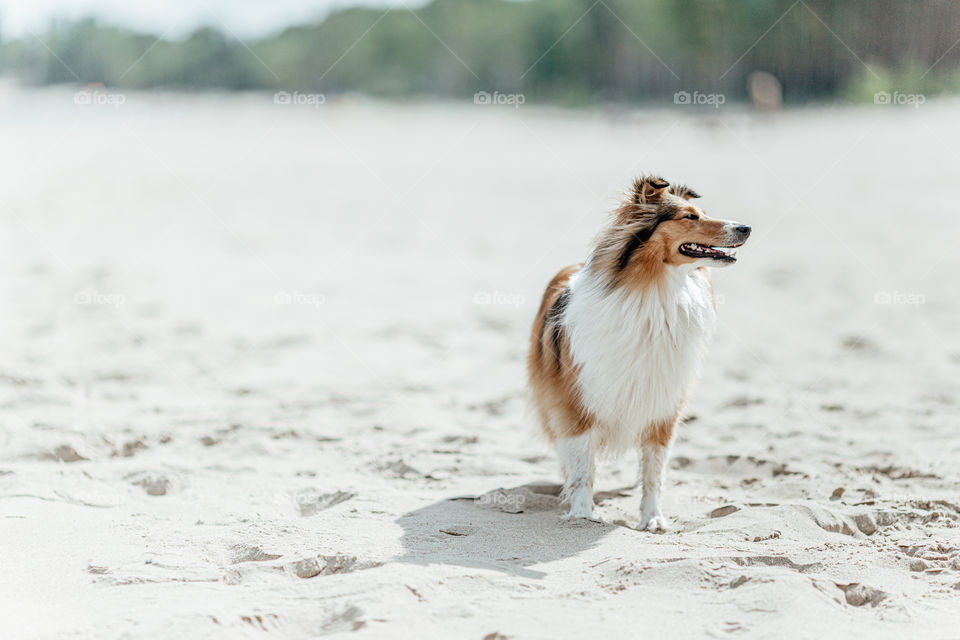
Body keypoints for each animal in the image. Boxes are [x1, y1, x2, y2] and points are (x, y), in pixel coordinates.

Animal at [524, 175, 752, 528]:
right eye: (690, 217)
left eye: (703, 213)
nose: (746, 228)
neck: (653, 290)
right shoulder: (577, 399)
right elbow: (583, 465)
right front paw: (581, 513)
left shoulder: (663, 403)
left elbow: (653, 471)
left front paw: (653, 518)